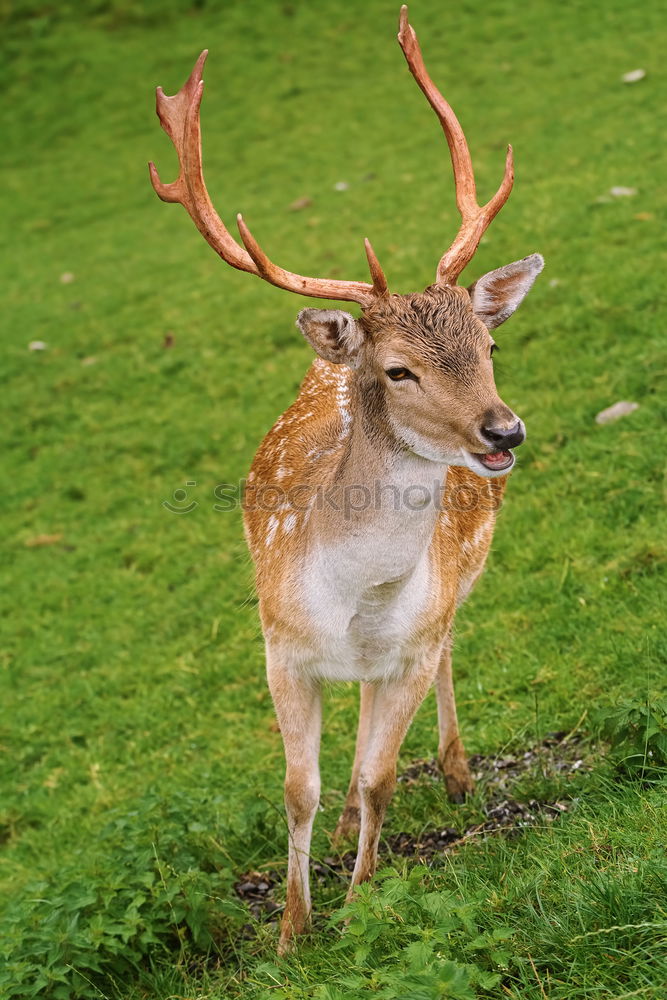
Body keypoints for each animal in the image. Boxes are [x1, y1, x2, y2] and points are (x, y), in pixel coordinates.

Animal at [150, 1, 544, 952]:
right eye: (398, 370)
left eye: (489, 345)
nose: (503, 430)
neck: (357, 598)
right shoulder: (279, 648)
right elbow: (300, 787)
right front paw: (293, 931)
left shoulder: (407, 647)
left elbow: (378, 778)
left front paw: (361, 906)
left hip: (449, 598)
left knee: (437, 668)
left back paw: (454, 774)